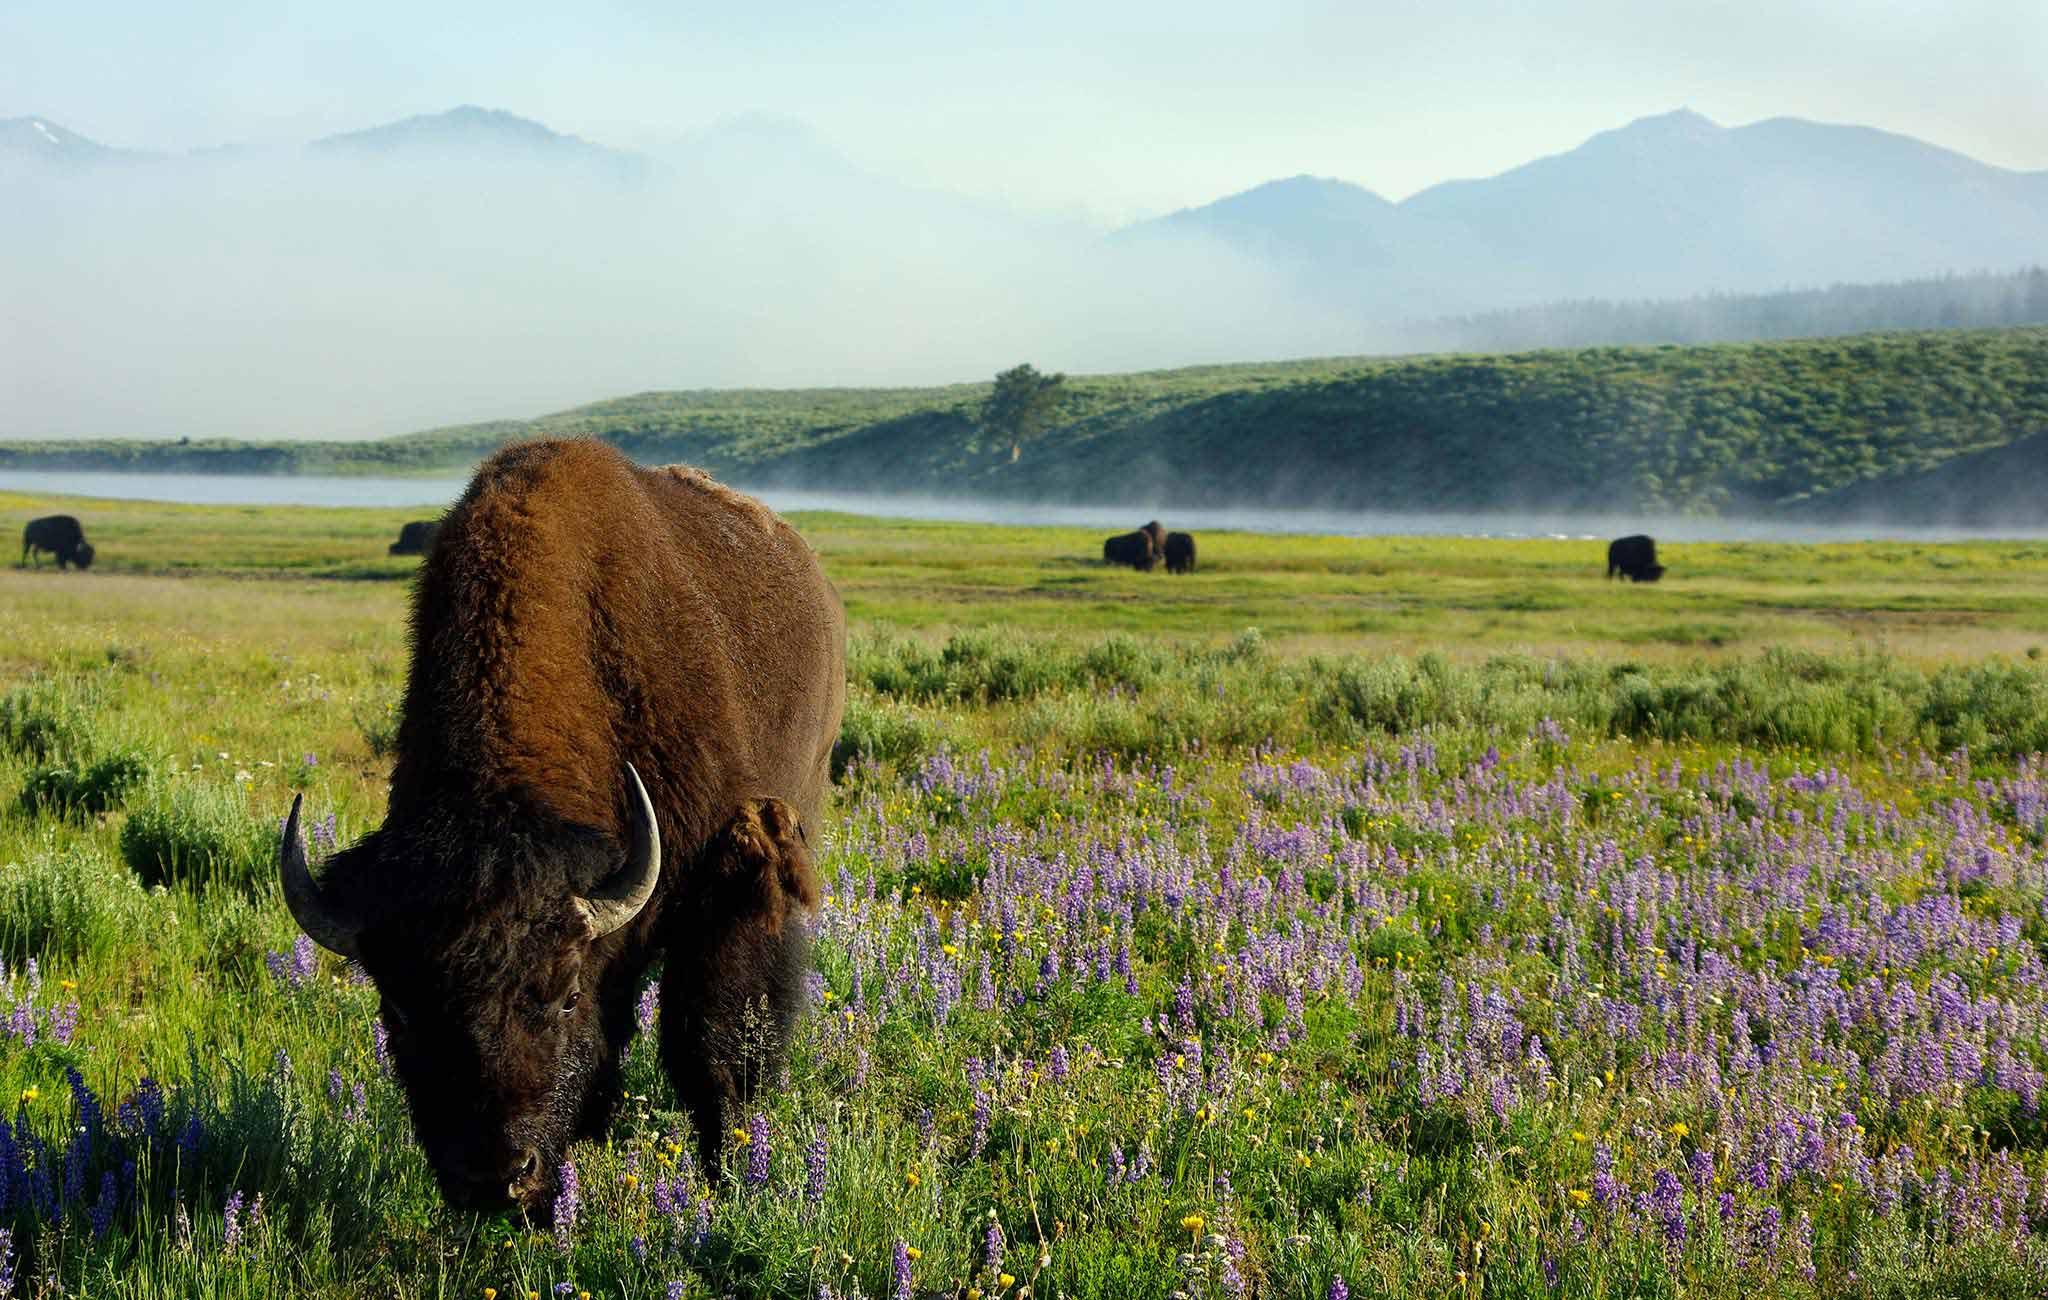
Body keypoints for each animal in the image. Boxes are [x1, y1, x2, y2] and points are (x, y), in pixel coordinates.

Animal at [278, 440, 839, 1211]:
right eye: (397, 1007)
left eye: (565, 993)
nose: (495, 1177)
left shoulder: (730, 877)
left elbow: (714, 1041)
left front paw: (731, 1174)